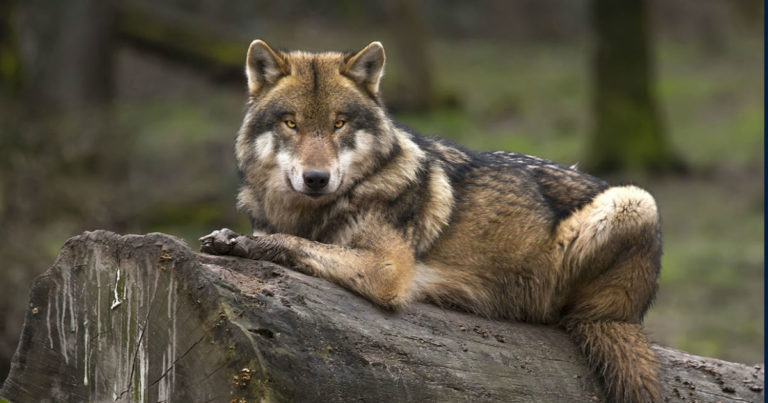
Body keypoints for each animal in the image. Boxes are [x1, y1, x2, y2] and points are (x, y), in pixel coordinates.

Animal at [200, 40, 662, 403]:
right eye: (291, 123)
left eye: (339, 123)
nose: (316, 178)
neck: (311, 212)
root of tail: (628, 315)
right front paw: (231, 238)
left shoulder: (386, 270)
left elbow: (292, 244)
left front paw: (243, 244)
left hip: (635, 200)